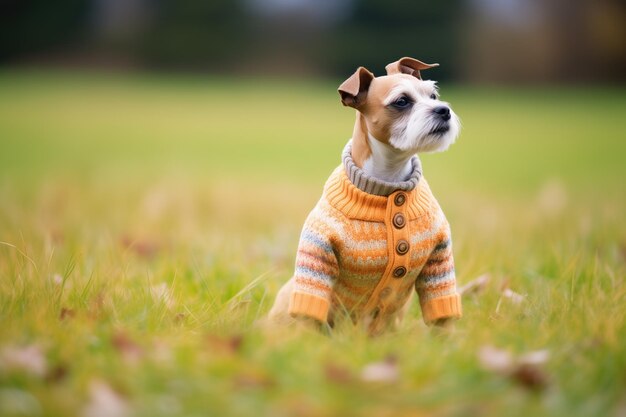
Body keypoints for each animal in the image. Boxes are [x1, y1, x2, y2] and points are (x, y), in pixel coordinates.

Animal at [266, 57, 458, 334]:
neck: (387, 182)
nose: (443, 110)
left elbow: (441, 308)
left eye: (433, 96)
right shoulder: (317, 252)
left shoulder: (439, 259)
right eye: (402, 101)